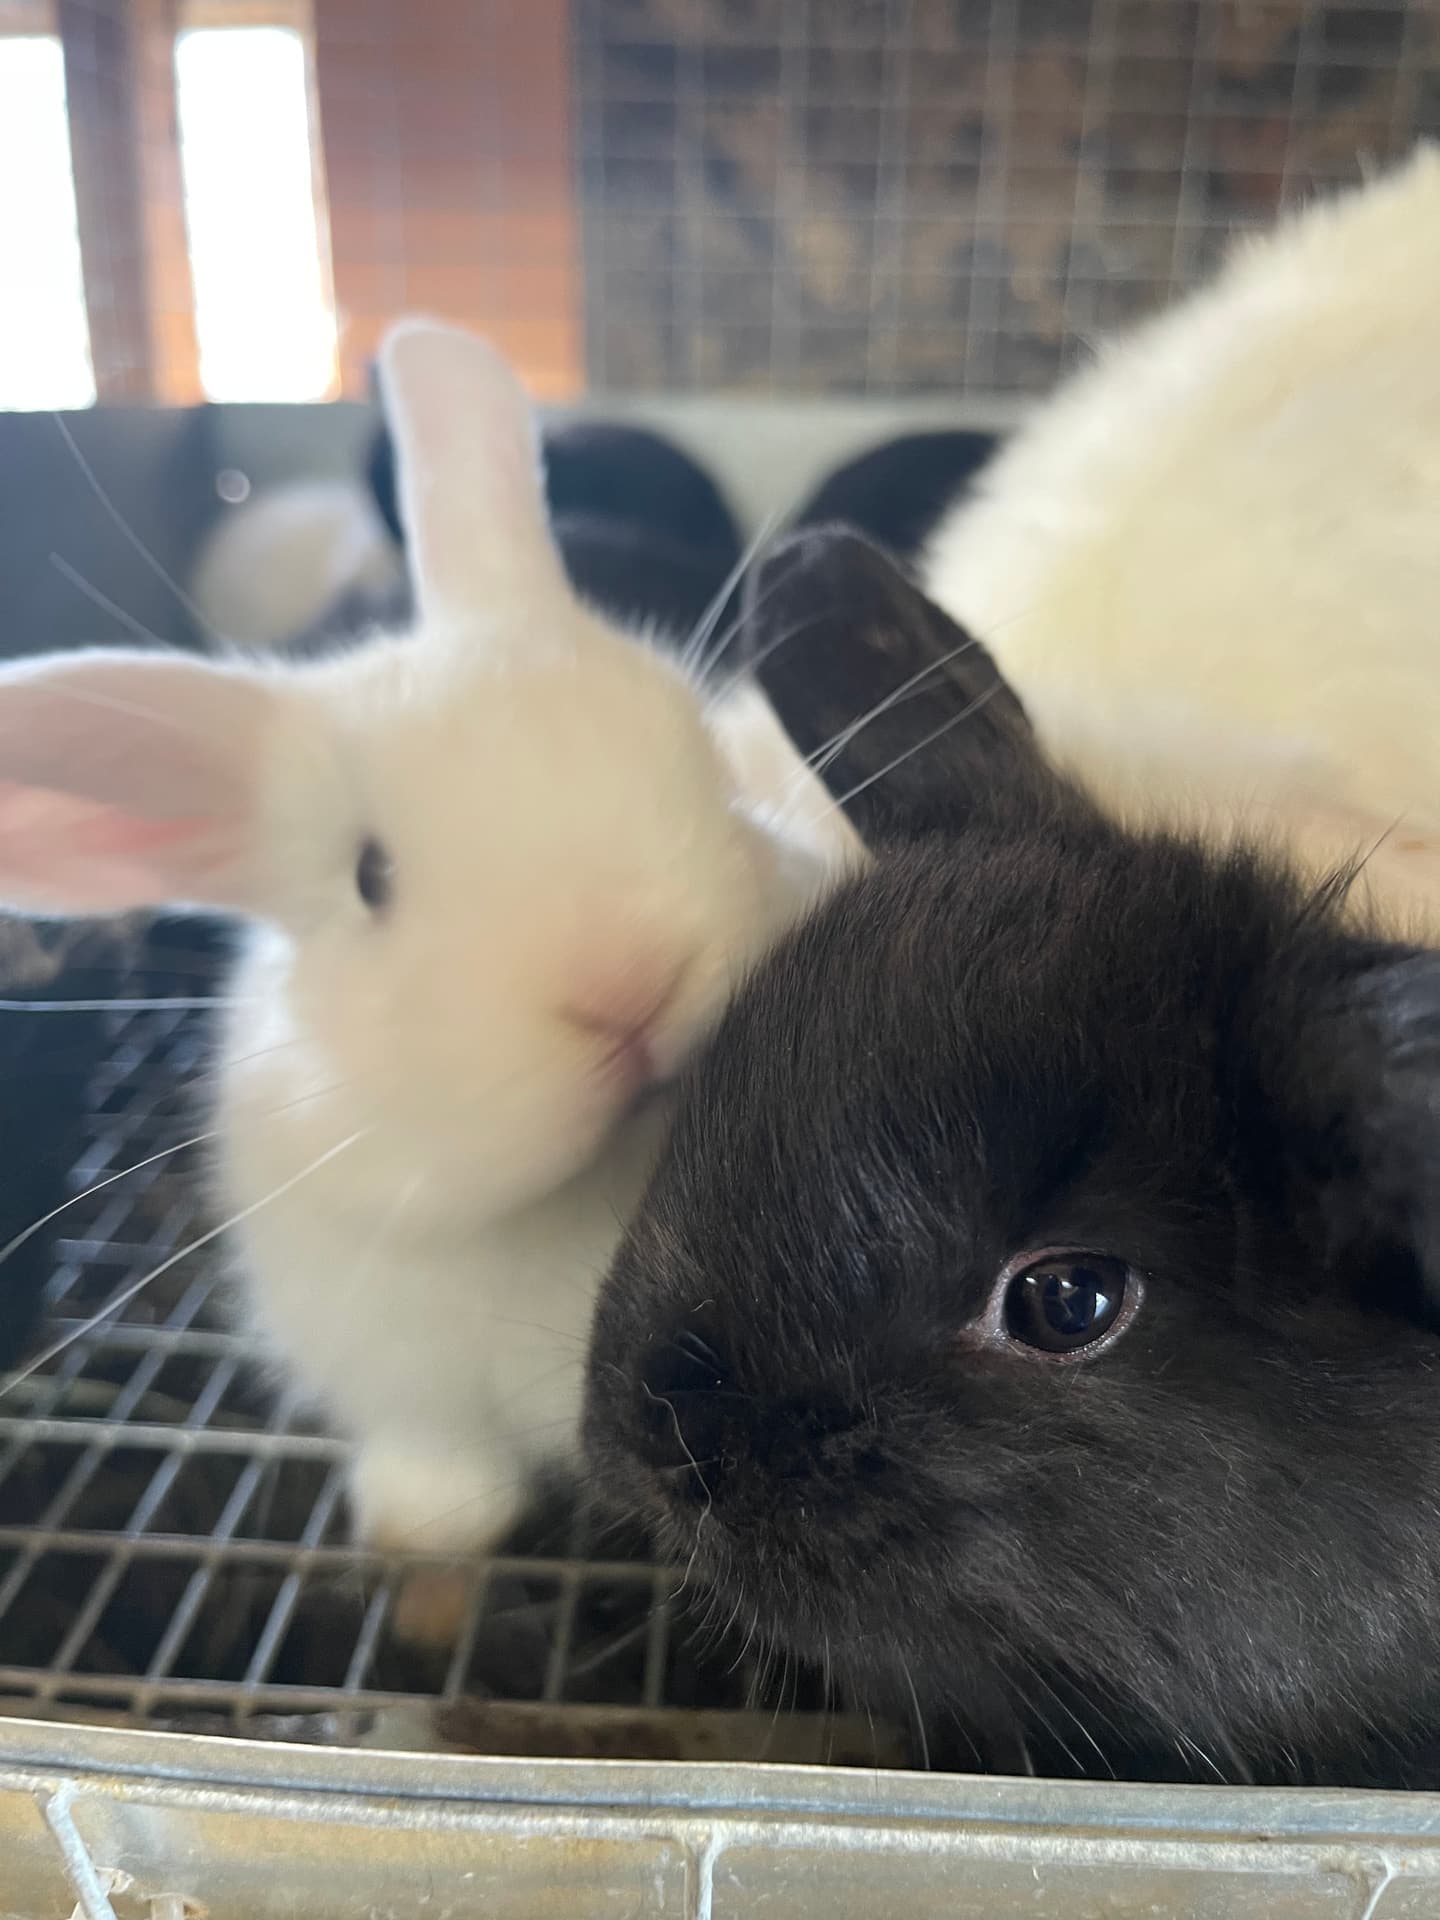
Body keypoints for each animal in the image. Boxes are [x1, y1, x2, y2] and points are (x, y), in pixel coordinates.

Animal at [0, 321, 858, 1555]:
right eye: (370, 878)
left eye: (688, 735)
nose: (631, 984)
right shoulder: (391, 1361)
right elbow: (437, 1448)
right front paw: (427, 1527)